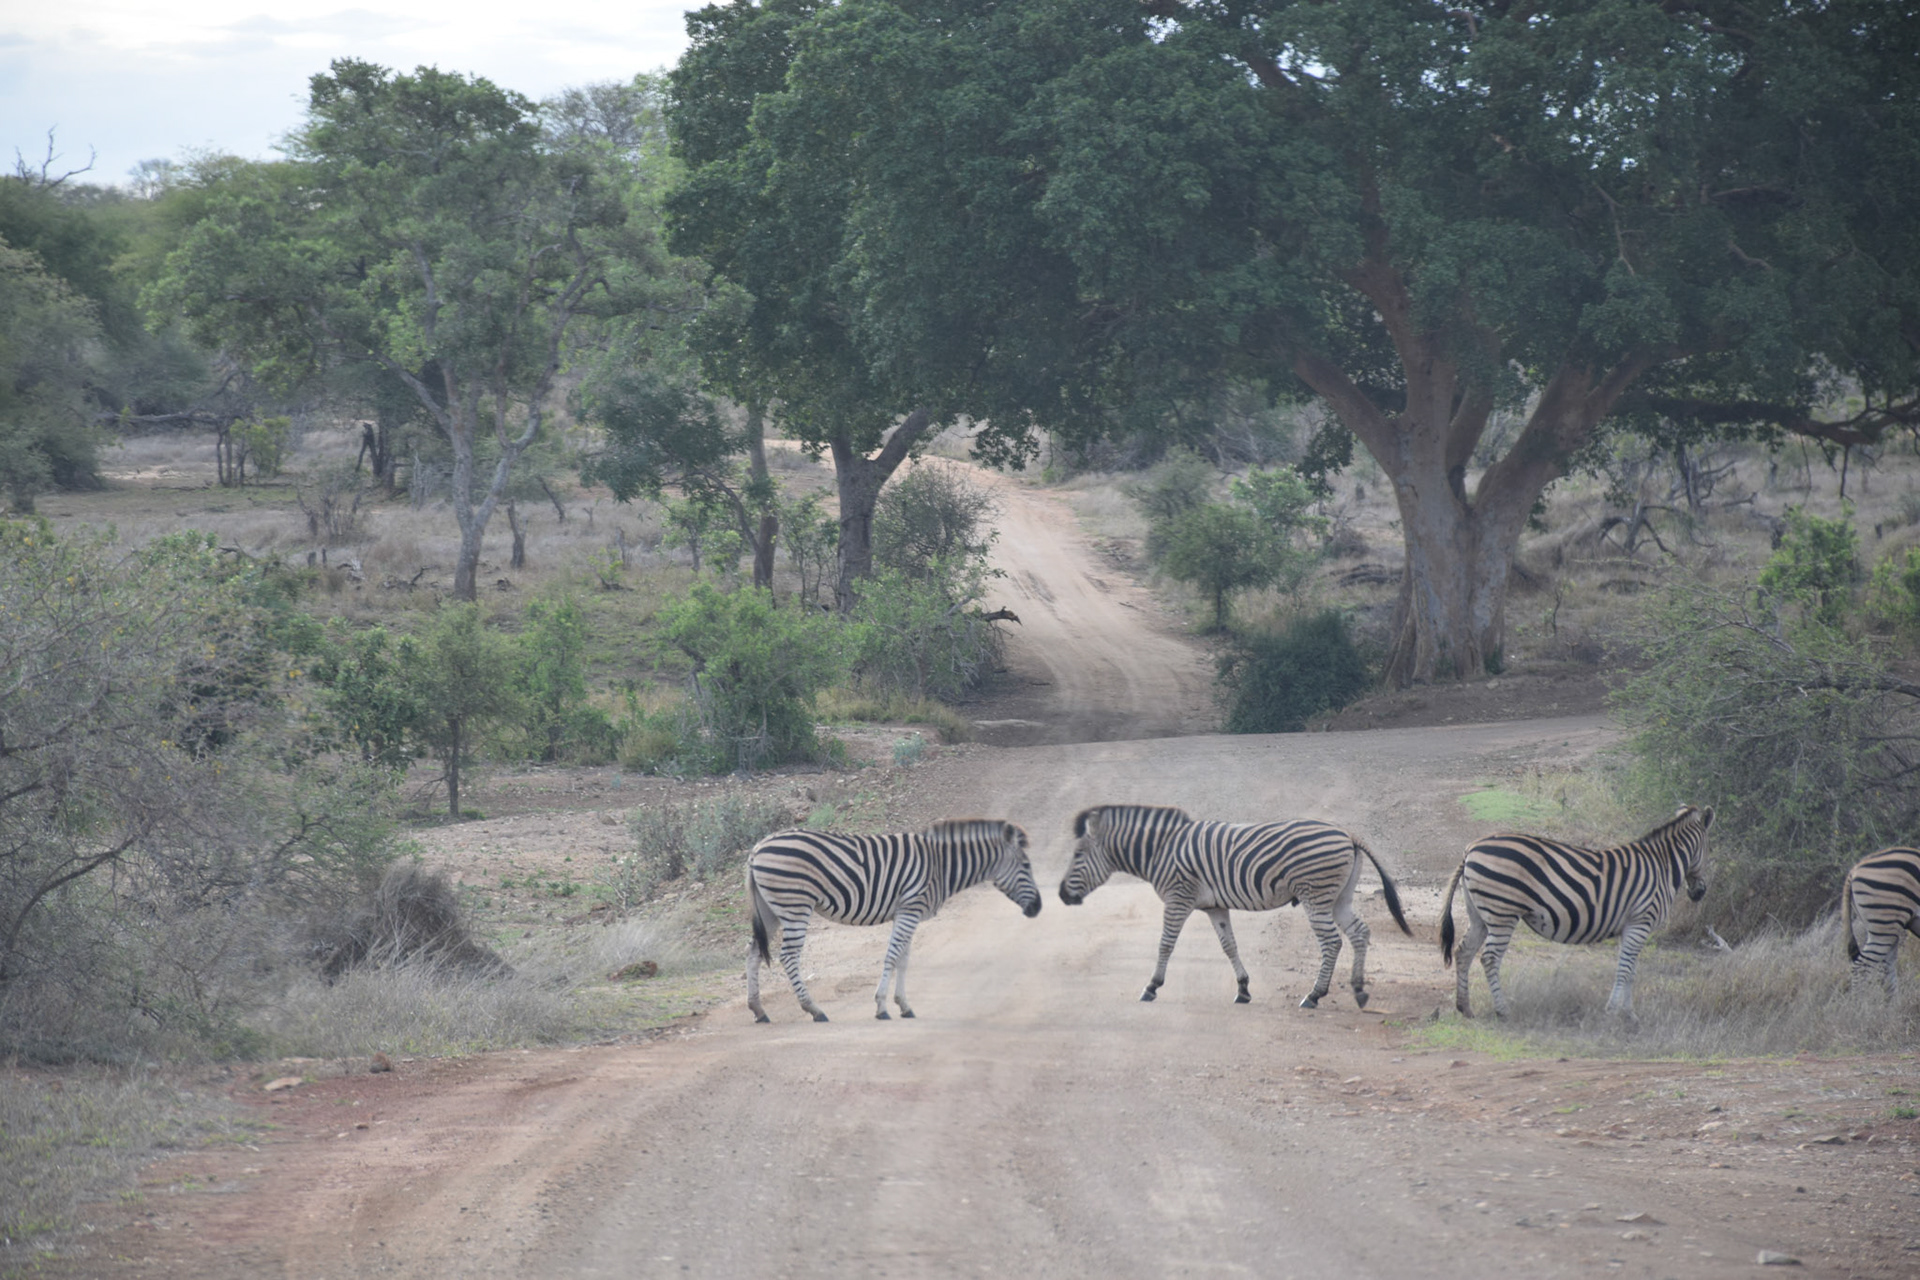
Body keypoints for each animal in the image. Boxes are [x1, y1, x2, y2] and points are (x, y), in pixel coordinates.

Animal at [745, 819, 1041, 1022]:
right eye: (1026, 866)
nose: (1038, 907)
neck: (940, 866)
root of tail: (757, 848)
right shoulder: (910, 908)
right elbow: (892, 955)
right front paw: (882, 1006)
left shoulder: (908, 913)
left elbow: (904, 959)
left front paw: (904, 1005)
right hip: (795, 905)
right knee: (788, 955)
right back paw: (814, 1009)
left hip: (770, 910)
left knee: (753, 952)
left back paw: (759, 1010)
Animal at [1058, 804, 1411, 1008]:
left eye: (1077, 855)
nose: (1061, 895)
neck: (1160, 851)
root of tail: (1348, 834)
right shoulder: (1215, 906)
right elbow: (1229, 945)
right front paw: (1243, 989)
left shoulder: (1178, 897)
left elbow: (1166, 944)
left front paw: (1152, 986)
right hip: (1339, 897)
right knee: (1359, 933)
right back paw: (1359, 990)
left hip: (1315, 894)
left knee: (1332, 941)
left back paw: (1314, 996)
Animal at [1439, 805, 1714, 1019]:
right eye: (1709, 851)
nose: (1699, 892)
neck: (1661, 866)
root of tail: (1471, 848)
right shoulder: (1640, 922)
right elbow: (1625, 969)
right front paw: (1613, 1011)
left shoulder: (1631, 926)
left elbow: (1631, 970)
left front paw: (1629, 1014)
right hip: (1502, 913)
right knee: (1489, 958)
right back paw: (1503, 1010)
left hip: (1479, 914)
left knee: (1463, 952)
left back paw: (1465, 1008)